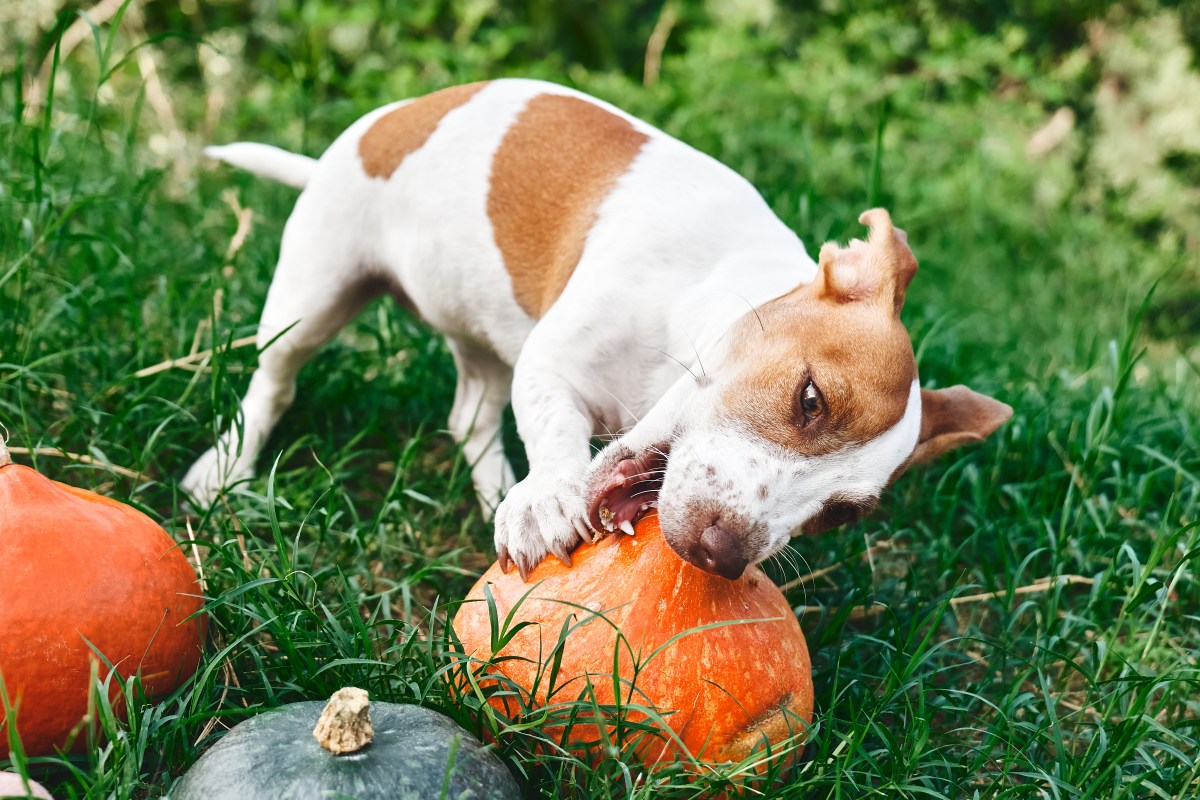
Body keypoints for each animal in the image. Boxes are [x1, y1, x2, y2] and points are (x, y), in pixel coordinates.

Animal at [184, 77, 1012, 582]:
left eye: (841, 515)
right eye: (810, 400)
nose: (722, 554)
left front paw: (529, 499)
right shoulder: (552, 365)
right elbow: (558, 432)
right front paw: (550, 494)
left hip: (481, 336)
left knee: (470, 415)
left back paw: (497, 491)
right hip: (312, 295)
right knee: (274, 383)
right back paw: (224, 470)